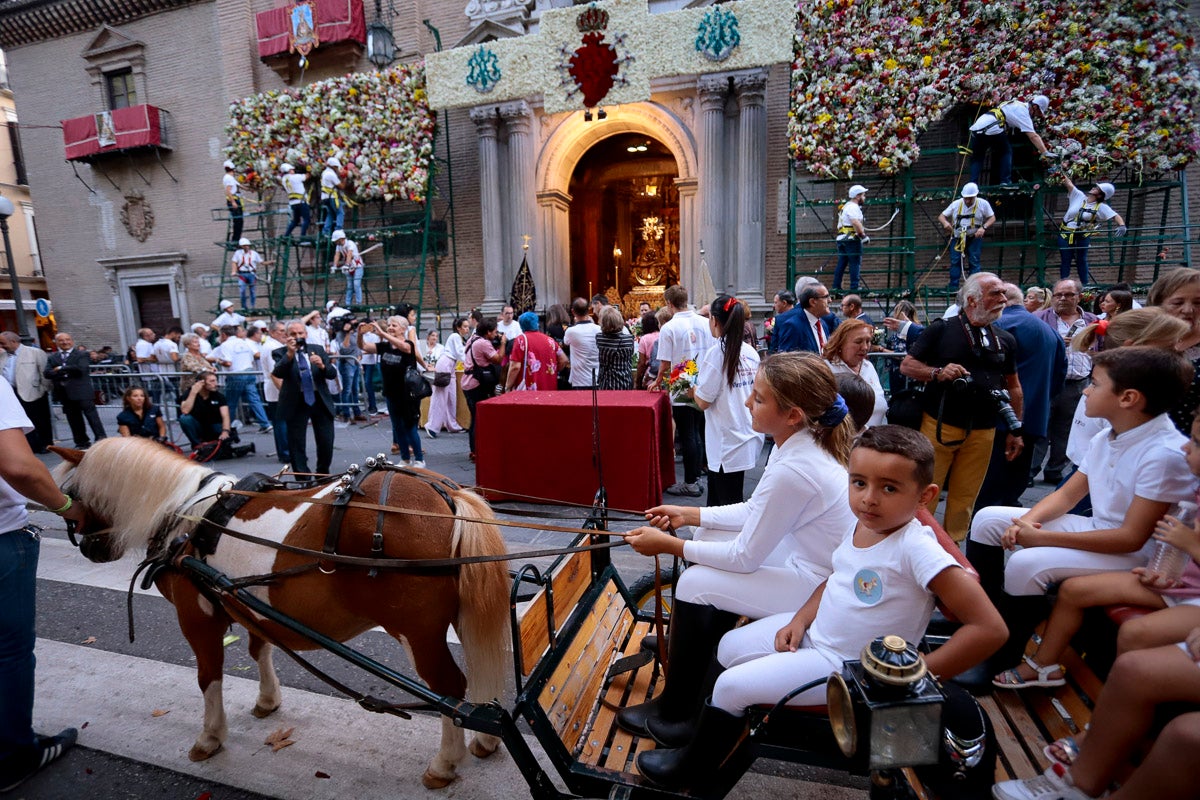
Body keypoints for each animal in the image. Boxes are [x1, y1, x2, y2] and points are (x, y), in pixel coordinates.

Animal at [50, 441, 511, 791]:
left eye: (72, 496)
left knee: (450, 689)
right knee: (482, 675)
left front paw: (210, 736)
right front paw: (267, 700)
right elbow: (259, 649)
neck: (187, 515)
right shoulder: (248, 604)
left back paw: (444, 763)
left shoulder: (197, 618)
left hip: (417, 633)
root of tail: (447, 495)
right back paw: (486, 738)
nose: (88, 548)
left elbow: (208, 677)